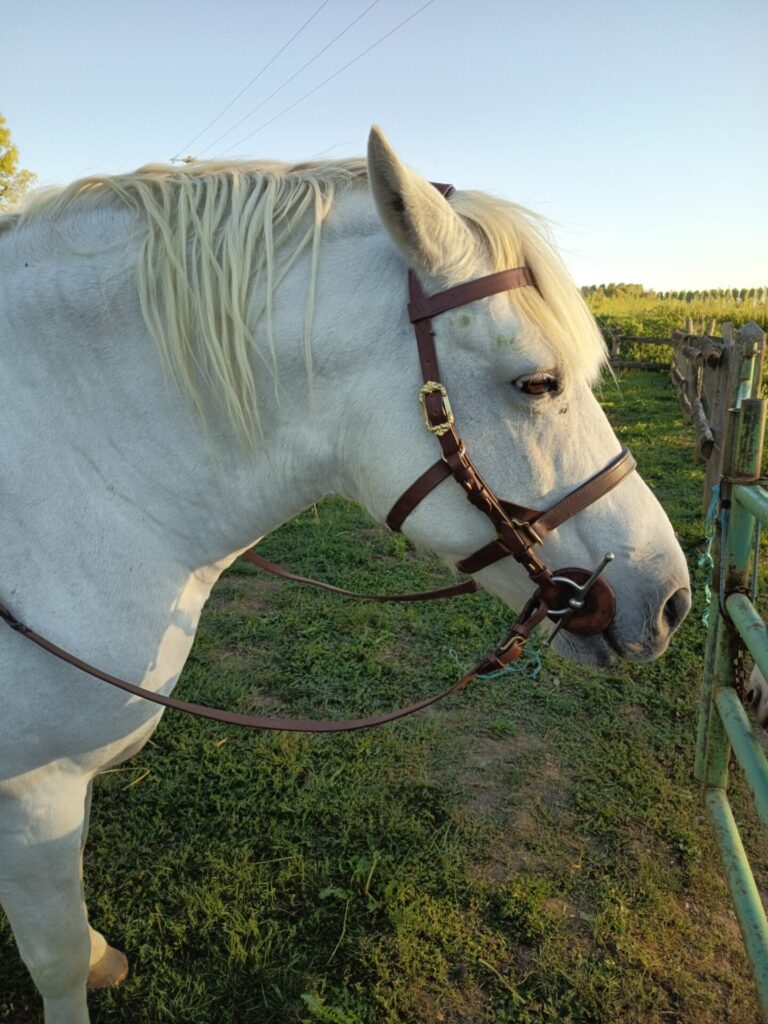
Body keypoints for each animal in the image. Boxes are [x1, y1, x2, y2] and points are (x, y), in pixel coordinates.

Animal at [0, 126, 690, 1023]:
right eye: (537, 383)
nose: (672, 599)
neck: (58, 486)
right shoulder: (33, 790)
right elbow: (51, 959)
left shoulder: (61, 791)